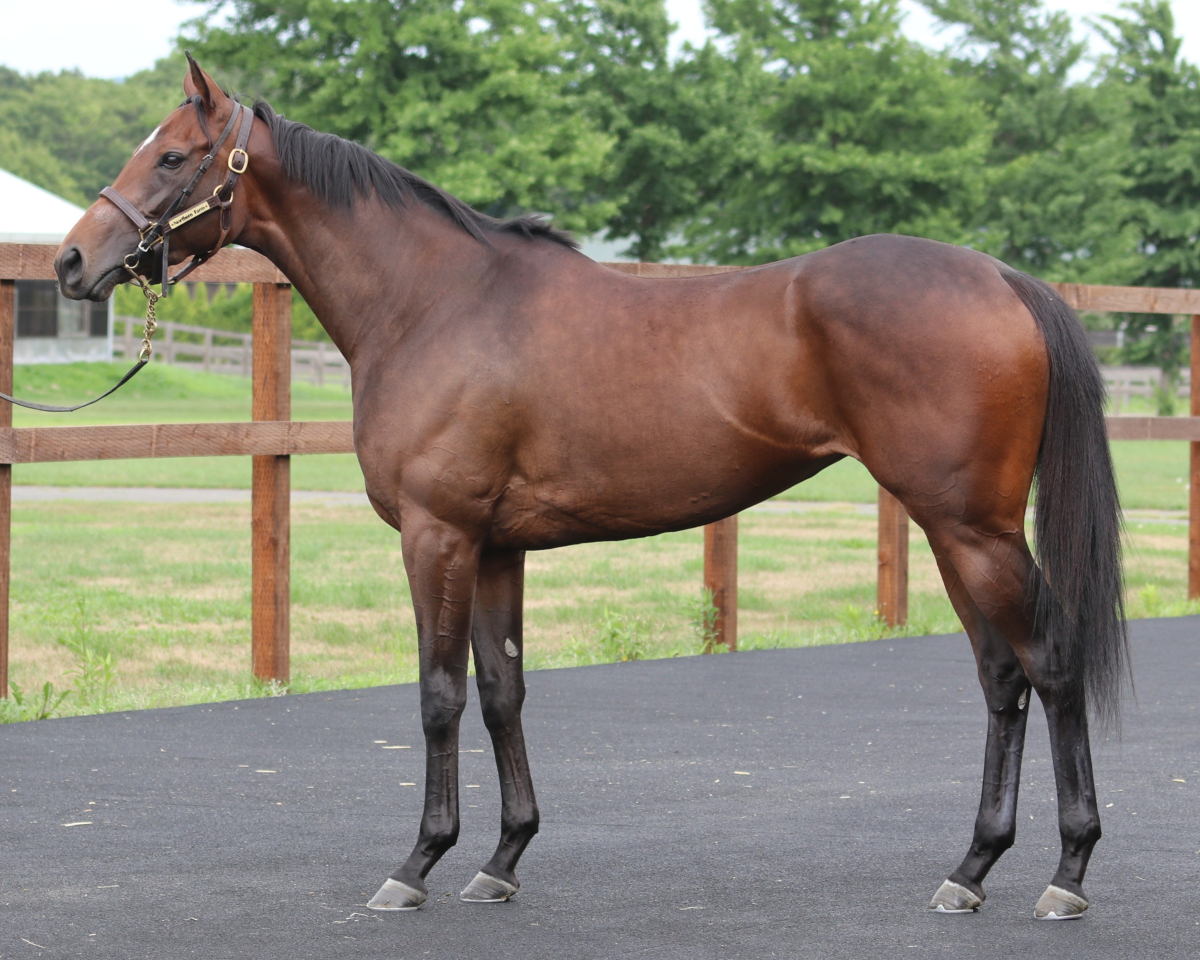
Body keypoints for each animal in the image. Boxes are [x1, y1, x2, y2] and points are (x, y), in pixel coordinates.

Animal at [55, 56, 1127, 921]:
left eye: (173, 157)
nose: (72, 262)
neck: (434, 301)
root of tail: (1003, 279)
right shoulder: (496, 546)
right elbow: (503, 692)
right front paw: (500, 859)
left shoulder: (437, 535)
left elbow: (439, 695)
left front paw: (416, 865)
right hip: (952, 531)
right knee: (1000, 679)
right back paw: (972, 870)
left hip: (973, 529)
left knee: (1049, 664)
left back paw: (1066, 875)